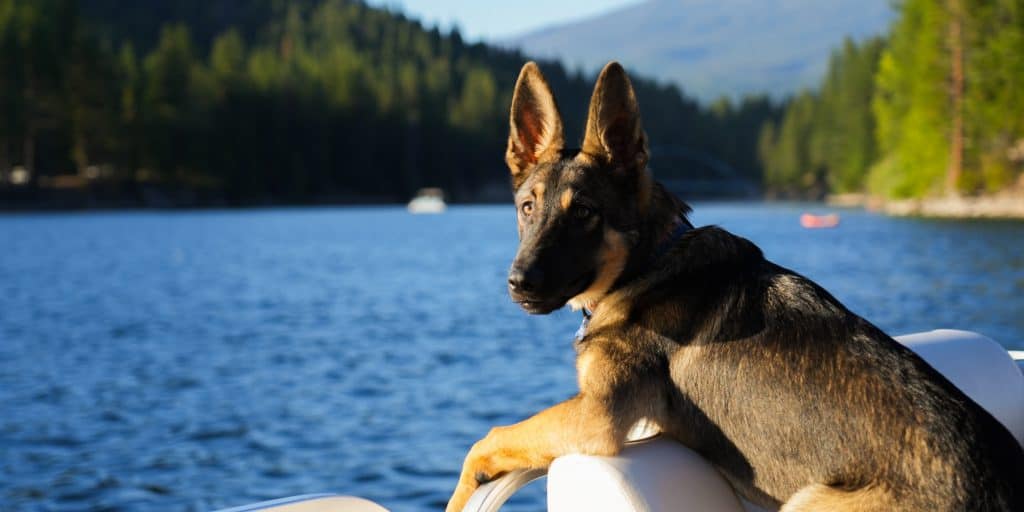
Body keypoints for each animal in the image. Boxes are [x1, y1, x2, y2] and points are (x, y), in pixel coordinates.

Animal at [446, 61, 1024, 509]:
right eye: (527, 208)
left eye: (585, 213)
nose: (518, 283)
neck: (649, 261)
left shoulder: (597, 418)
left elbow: (486, 439)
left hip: (809, 501)